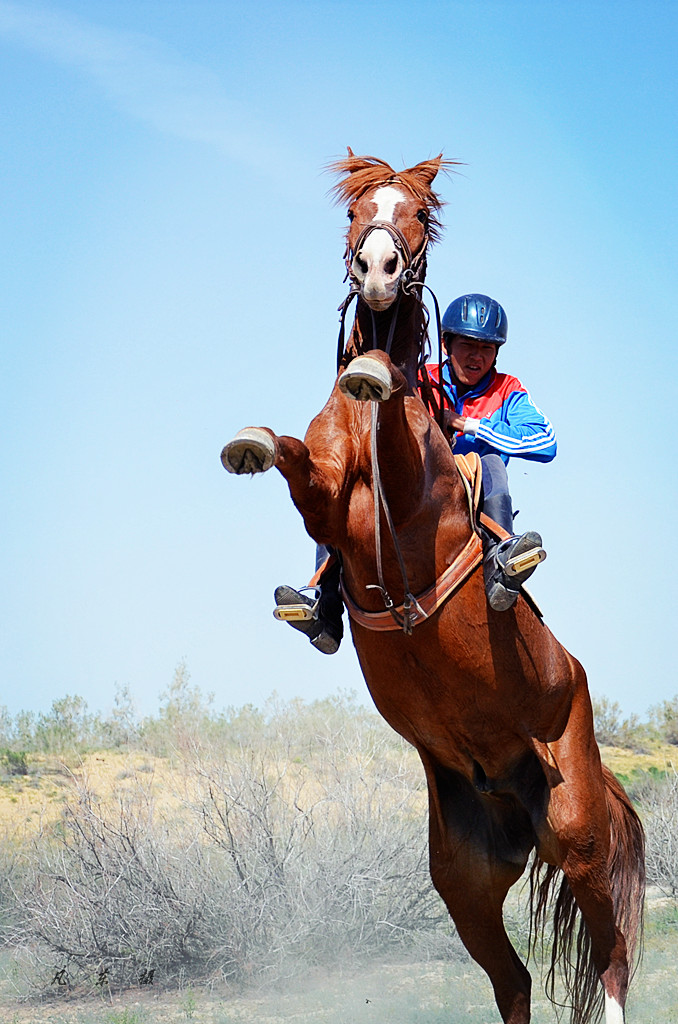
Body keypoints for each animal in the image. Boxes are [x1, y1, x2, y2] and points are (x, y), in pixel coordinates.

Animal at [223, 151, 647, 1024]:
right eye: (357, 211)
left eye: (417, 212)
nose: (377, 269)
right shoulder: (325, 493)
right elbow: (294, 463)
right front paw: (253, 443)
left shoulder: (415, 510)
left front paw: (378, 375)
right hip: (465, 880)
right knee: (513, 982)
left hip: (579, 832)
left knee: (612, 958)